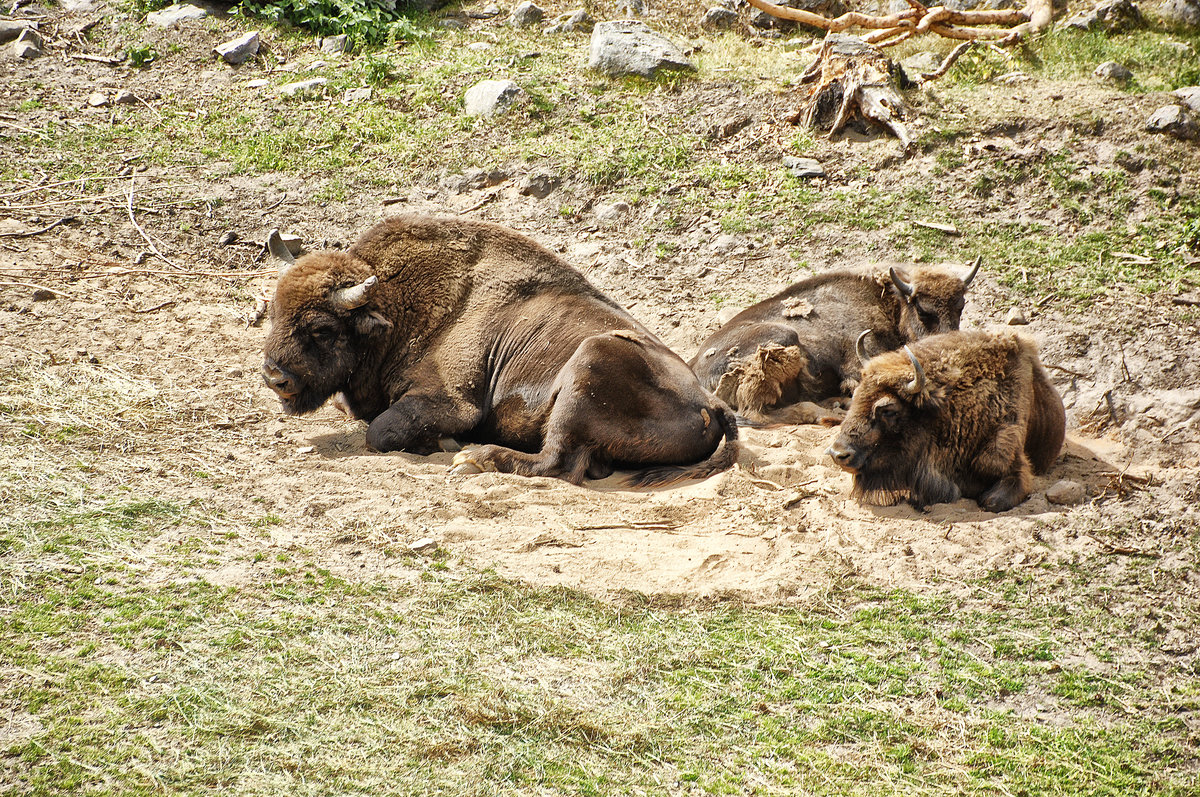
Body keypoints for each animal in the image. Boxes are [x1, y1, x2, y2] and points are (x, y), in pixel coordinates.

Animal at [259, 213, 734, 484]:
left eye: (322, 329)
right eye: (275, 311)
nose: (274, 376)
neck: (396, 307)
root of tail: (711, 401)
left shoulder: (451, 401)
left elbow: (380, 432)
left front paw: (444, 444)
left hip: (589, 363)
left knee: (557, 465)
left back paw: (472, 459)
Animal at [691, 260, 979, 422]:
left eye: (961, 306)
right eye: (923, 310)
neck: (886, 301)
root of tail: (694, 370)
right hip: (784, 338)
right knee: (756, 413)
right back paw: (832, 412)